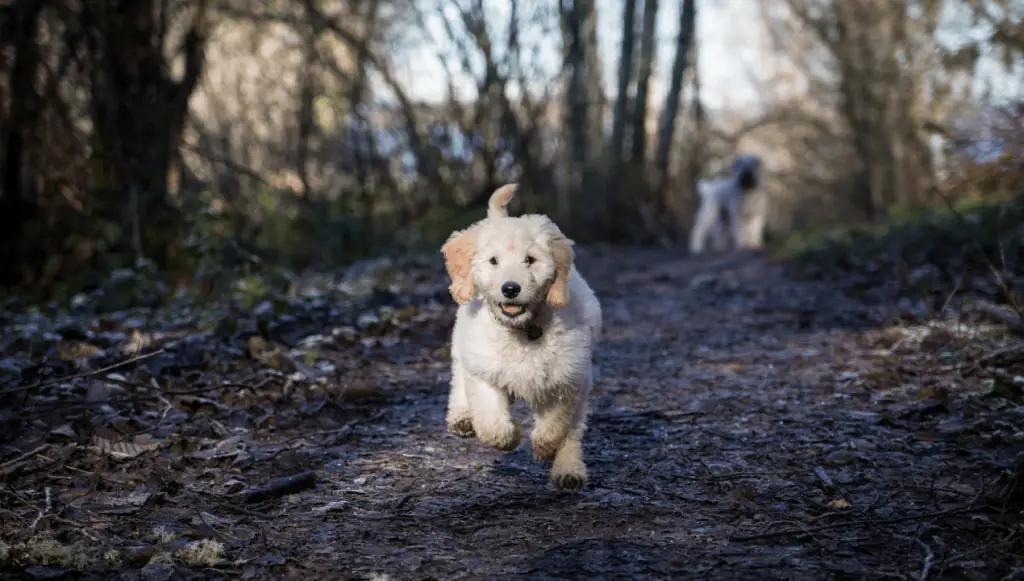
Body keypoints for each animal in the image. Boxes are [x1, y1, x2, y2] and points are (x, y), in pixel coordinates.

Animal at [438, 184, 598, 493]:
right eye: (493, 261)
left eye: (530, 260)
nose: (510, 288)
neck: (522, 330)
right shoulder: (484, 368)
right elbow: (490, 418)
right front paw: (506, 437)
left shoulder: (569, 378)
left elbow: (558, 423)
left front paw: (544, 446)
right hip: (463, 346)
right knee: (459, 379)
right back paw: (462, 417)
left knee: (574, 429)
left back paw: (568, 471)